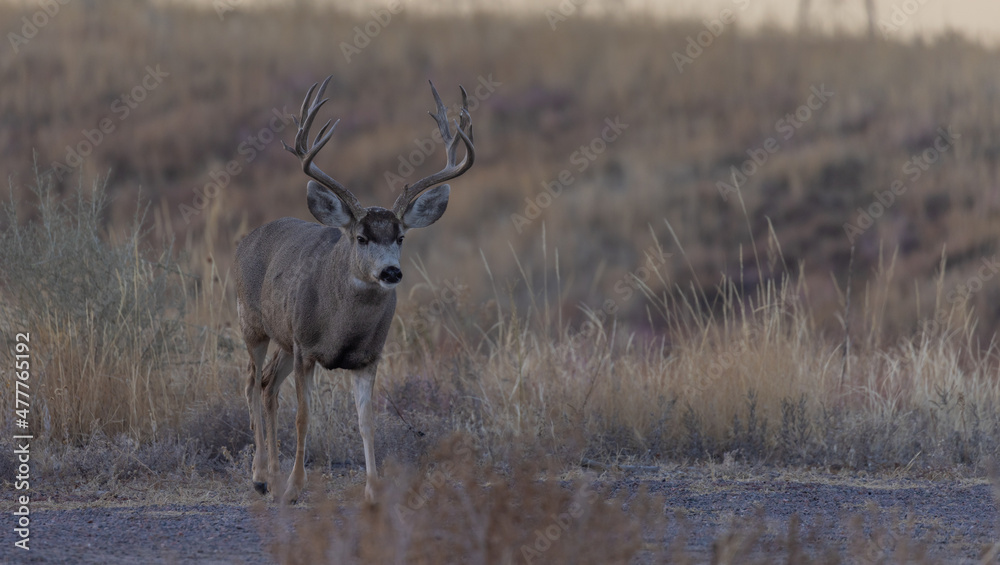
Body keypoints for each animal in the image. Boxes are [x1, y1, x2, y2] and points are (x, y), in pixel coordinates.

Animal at [234, 76, 474, 504]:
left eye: (400, 237)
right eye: (361, 238)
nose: (391, 271)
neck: (341, 328)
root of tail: (248, 238)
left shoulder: (368, 357)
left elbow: (367, 421)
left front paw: (374, 488)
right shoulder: (306, 347)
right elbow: (304, 416)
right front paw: (295, 487)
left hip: (283, 339)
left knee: (266, 387)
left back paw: (273, 475)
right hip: (253, 324)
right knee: (249, 382)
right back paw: (261, 477)